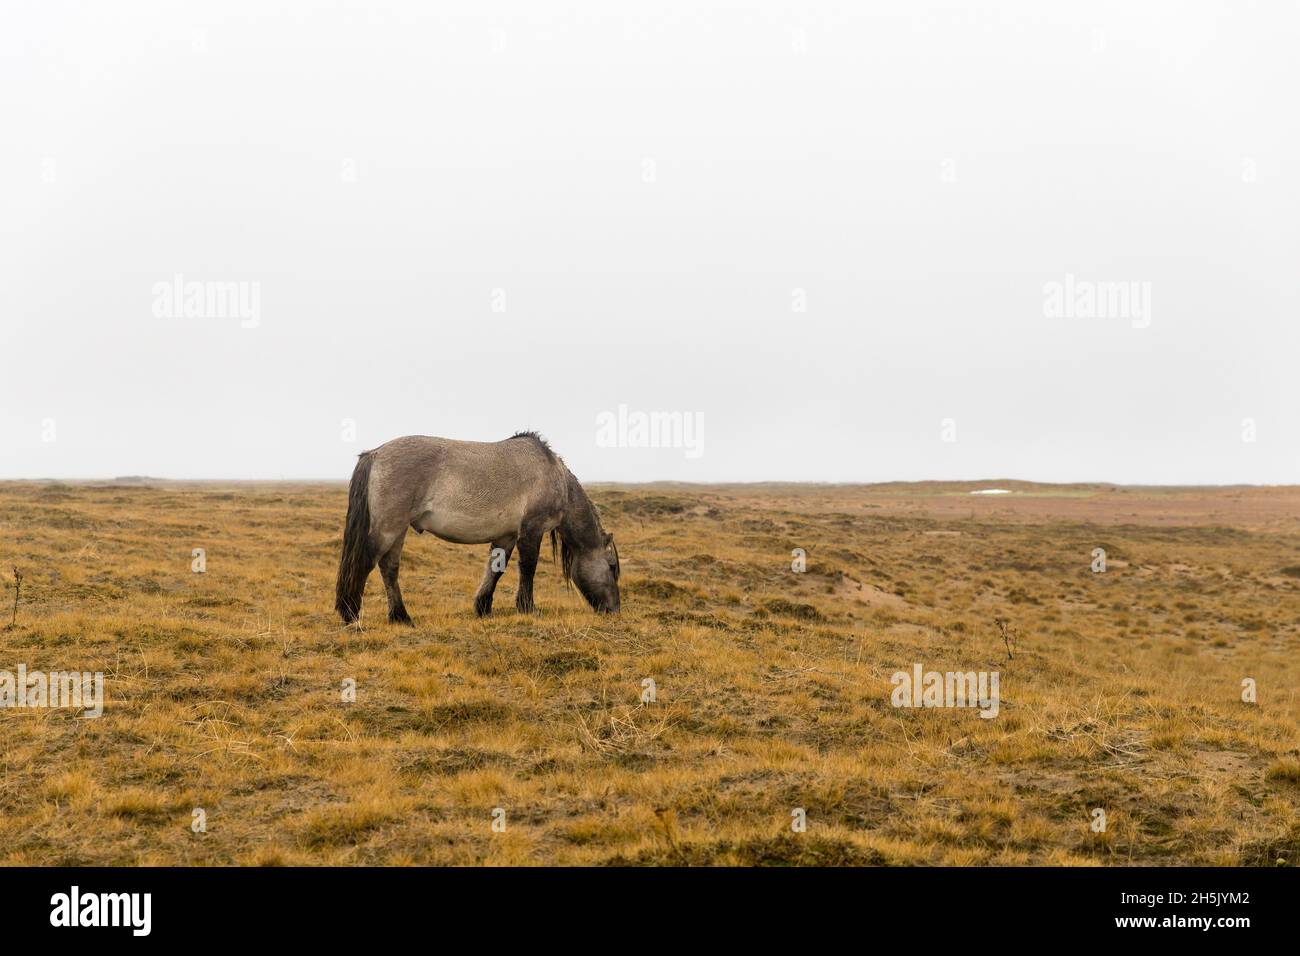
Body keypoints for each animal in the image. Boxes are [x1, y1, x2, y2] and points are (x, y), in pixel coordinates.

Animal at [335, 432, 620, 624]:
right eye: (612, 567)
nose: (614, 609)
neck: (553, 474)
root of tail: (376, 453)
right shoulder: (532, 530)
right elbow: (528, 568)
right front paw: (528, 608)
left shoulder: (506, 536)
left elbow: (495, 570)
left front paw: (483, 608)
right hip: (389, 528)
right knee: (366, 562)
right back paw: (350, 613)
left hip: (398, 530)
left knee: (389, 568)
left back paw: (401, 616)